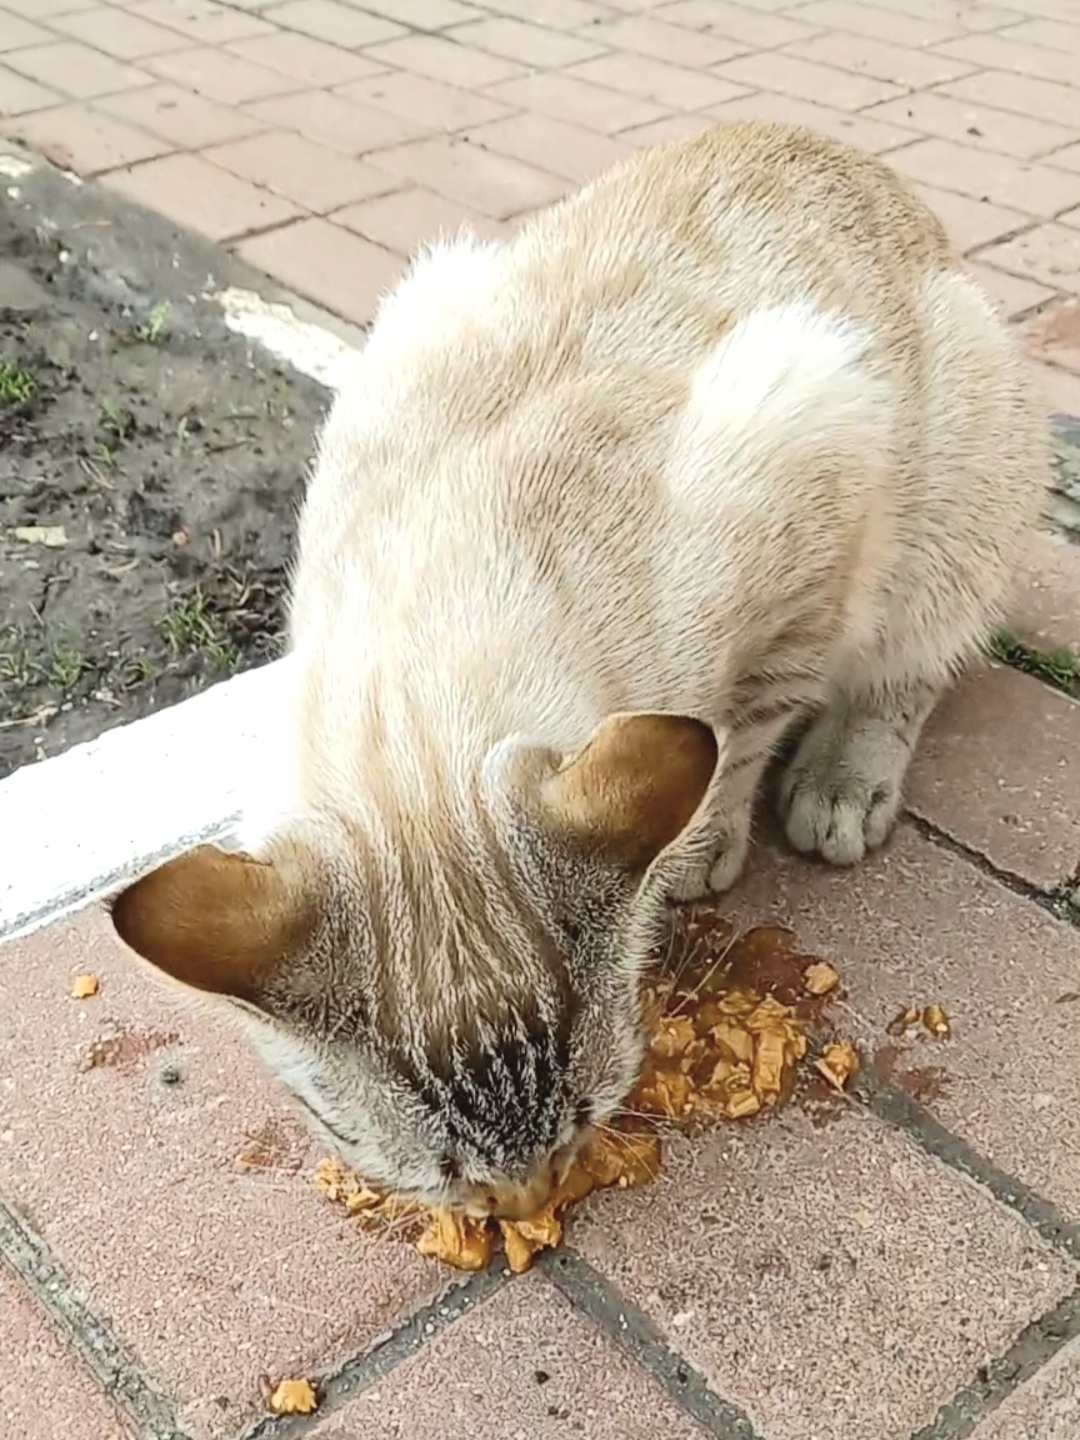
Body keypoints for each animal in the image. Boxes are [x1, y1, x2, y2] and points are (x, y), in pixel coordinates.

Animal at [112, 123, 1048, 1221]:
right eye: (445, 1175)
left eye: (587, 1119)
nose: (524, 1209)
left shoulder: (815, 461)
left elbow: (740, 733)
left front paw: (699, 847)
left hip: (952, 487)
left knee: (911, 668)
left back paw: (842, 782)